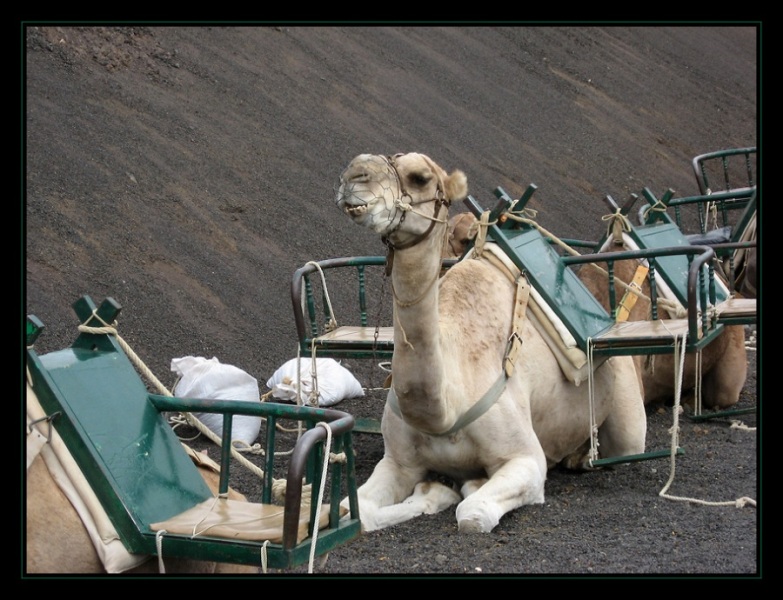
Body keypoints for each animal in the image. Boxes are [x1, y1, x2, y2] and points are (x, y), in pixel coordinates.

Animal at [334, 152, 648, 532]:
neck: (445, 407)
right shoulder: (397, 462)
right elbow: (357, 512)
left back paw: (581, 456)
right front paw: (433, 491)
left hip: (627, 406)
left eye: (420, 177)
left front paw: (457, 489)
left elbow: (473, 514)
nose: (354, 173)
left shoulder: (527, 459)